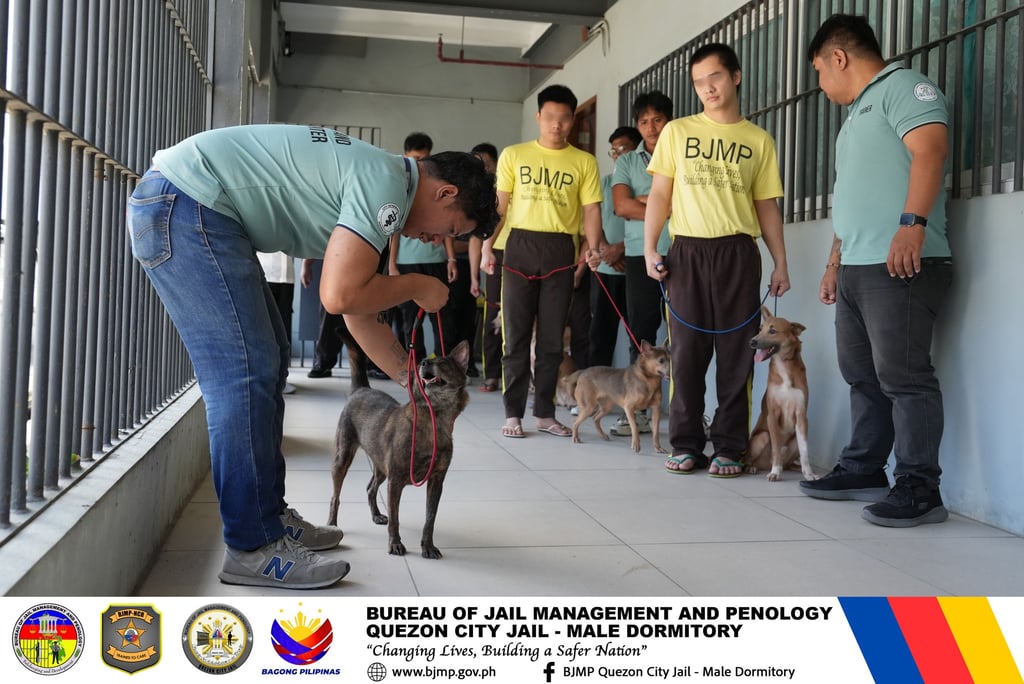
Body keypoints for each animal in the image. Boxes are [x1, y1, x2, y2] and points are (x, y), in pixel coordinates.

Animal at [327, 340, 470, 558]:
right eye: (418, 365)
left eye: (444, 363)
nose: (424, 362)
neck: (433, 419)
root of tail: (361, 389)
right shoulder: (394, 482)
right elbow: (395, 518)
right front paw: (395, 544)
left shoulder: (436, 482)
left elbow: (430, 519)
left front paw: (428, 546)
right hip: (342, 458)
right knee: (335, 497)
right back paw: (332, 525)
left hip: (380, 466)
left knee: (370, 488)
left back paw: (376, 515)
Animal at [746, 307, 816, 481]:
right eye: (760, 329)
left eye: (772, 330)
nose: (752, 342)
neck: (784, 366)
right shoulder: (772, 415)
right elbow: (776, 447)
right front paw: (775, 472)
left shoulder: (801, 416)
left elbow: (805, 451)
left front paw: (808, 473)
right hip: (761, 437)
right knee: (749, 459)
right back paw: (753, 467)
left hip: (795, 440)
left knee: (791, 460)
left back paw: (793, 468)